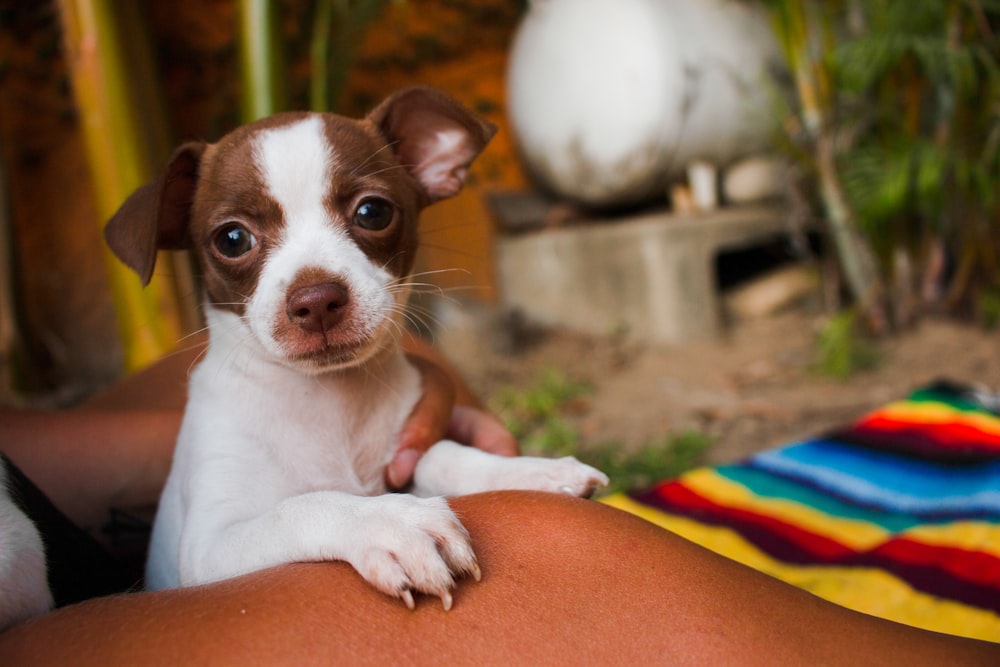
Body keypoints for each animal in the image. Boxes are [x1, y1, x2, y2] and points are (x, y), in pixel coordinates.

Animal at [107, 85, 608, 612]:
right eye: (232, 238)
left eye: (373, 212)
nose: (316, 300)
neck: (329, 400)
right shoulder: (210, 547)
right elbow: (302, 505)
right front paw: (389, 522)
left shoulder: (402, 456)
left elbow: (442, 454)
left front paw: (530, 470)